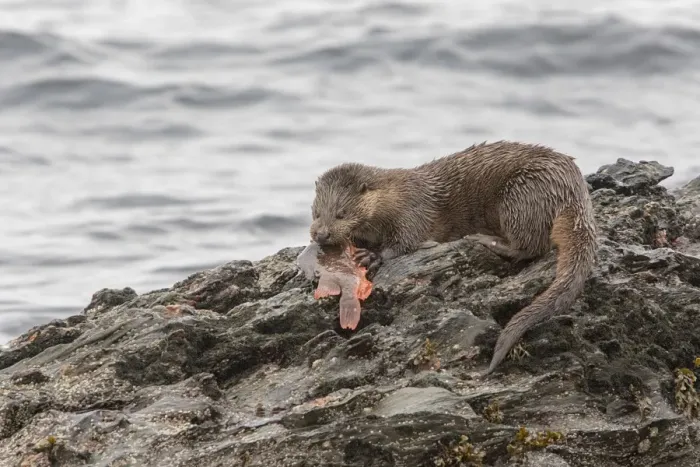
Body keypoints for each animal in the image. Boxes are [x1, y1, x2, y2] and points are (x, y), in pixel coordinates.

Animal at [309, 140, 597, 374]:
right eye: (316, 212)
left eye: (342, 213)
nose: (321, 233)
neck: (392, 198)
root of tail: (573, 189)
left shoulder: (412, 211)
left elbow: (404, 242)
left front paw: (371, 255)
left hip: (521, 196)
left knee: (530, 246)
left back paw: (485, 240)